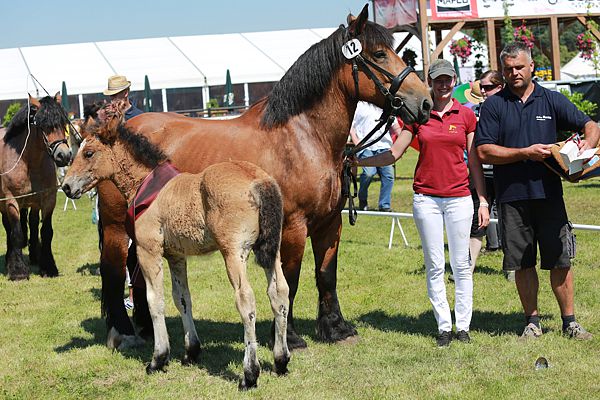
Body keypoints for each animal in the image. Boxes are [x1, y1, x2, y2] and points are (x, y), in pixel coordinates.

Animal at [0, 95, 72, 280]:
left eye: (62, 123)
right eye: (43, 125)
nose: (64, 155)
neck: (28, 162)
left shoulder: (48, 199)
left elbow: (46, 232)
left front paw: (48, 266)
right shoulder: (11, 201)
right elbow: (16, 233)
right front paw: (18, 271)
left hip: (33, 203)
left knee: (32, 224)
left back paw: (34, 256)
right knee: (9, 228)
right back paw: (10, 259)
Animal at [62, 110, 290, 390]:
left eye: (89, 153)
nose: (66, 186)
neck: (147, 186)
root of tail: (258, 180)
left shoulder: (148, 251)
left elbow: (155, 301)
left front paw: (158, 359)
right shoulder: (176, 256)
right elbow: (182, 299)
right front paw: (191, 352)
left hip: (234, 252)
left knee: (246, 300)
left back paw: (249, 374)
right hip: (272, 250)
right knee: (279, 293)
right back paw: (281, 360)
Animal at [95, 6, 432, 350]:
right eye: (379, 54)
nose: (425, 102)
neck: (303, 137)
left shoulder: (330, 222)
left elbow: (326, 274)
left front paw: (336, 328)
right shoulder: (293, 226)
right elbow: (290, 279)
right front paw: (289, 337)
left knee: (138, 271)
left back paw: (146, 329)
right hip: (116, 226)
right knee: (113, 270)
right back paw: (123, 332)